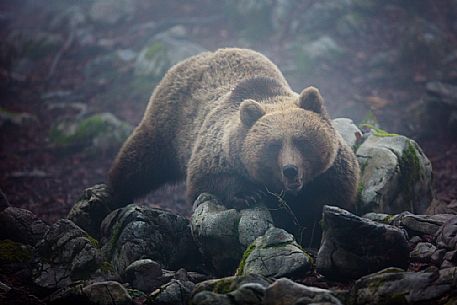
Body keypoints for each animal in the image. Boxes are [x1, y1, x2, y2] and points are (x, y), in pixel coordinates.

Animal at [108, 48, 358, 245]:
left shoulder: (330, 171)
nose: (290, 170)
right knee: (141, 161)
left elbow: (330, 197)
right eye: (274, 145)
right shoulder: (218, 150)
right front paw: (248, 195)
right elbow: (207, 179)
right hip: (168, 124)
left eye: (301, 141)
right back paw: (117, 194)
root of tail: (202, 55)